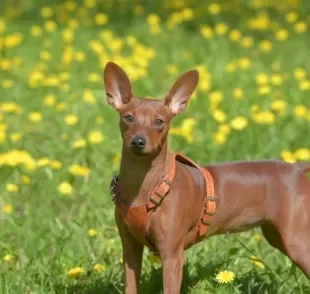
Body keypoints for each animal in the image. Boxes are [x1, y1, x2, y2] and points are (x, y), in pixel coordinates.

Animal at [103, 60, 310, 292]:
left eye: (159, 122)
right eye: (128, 118)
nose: (138, 142)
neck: (145, 185)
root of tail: (296, 168)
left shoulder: (172, 256)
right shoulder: (130, 251)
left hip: (296, 241)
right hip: (277, 235)